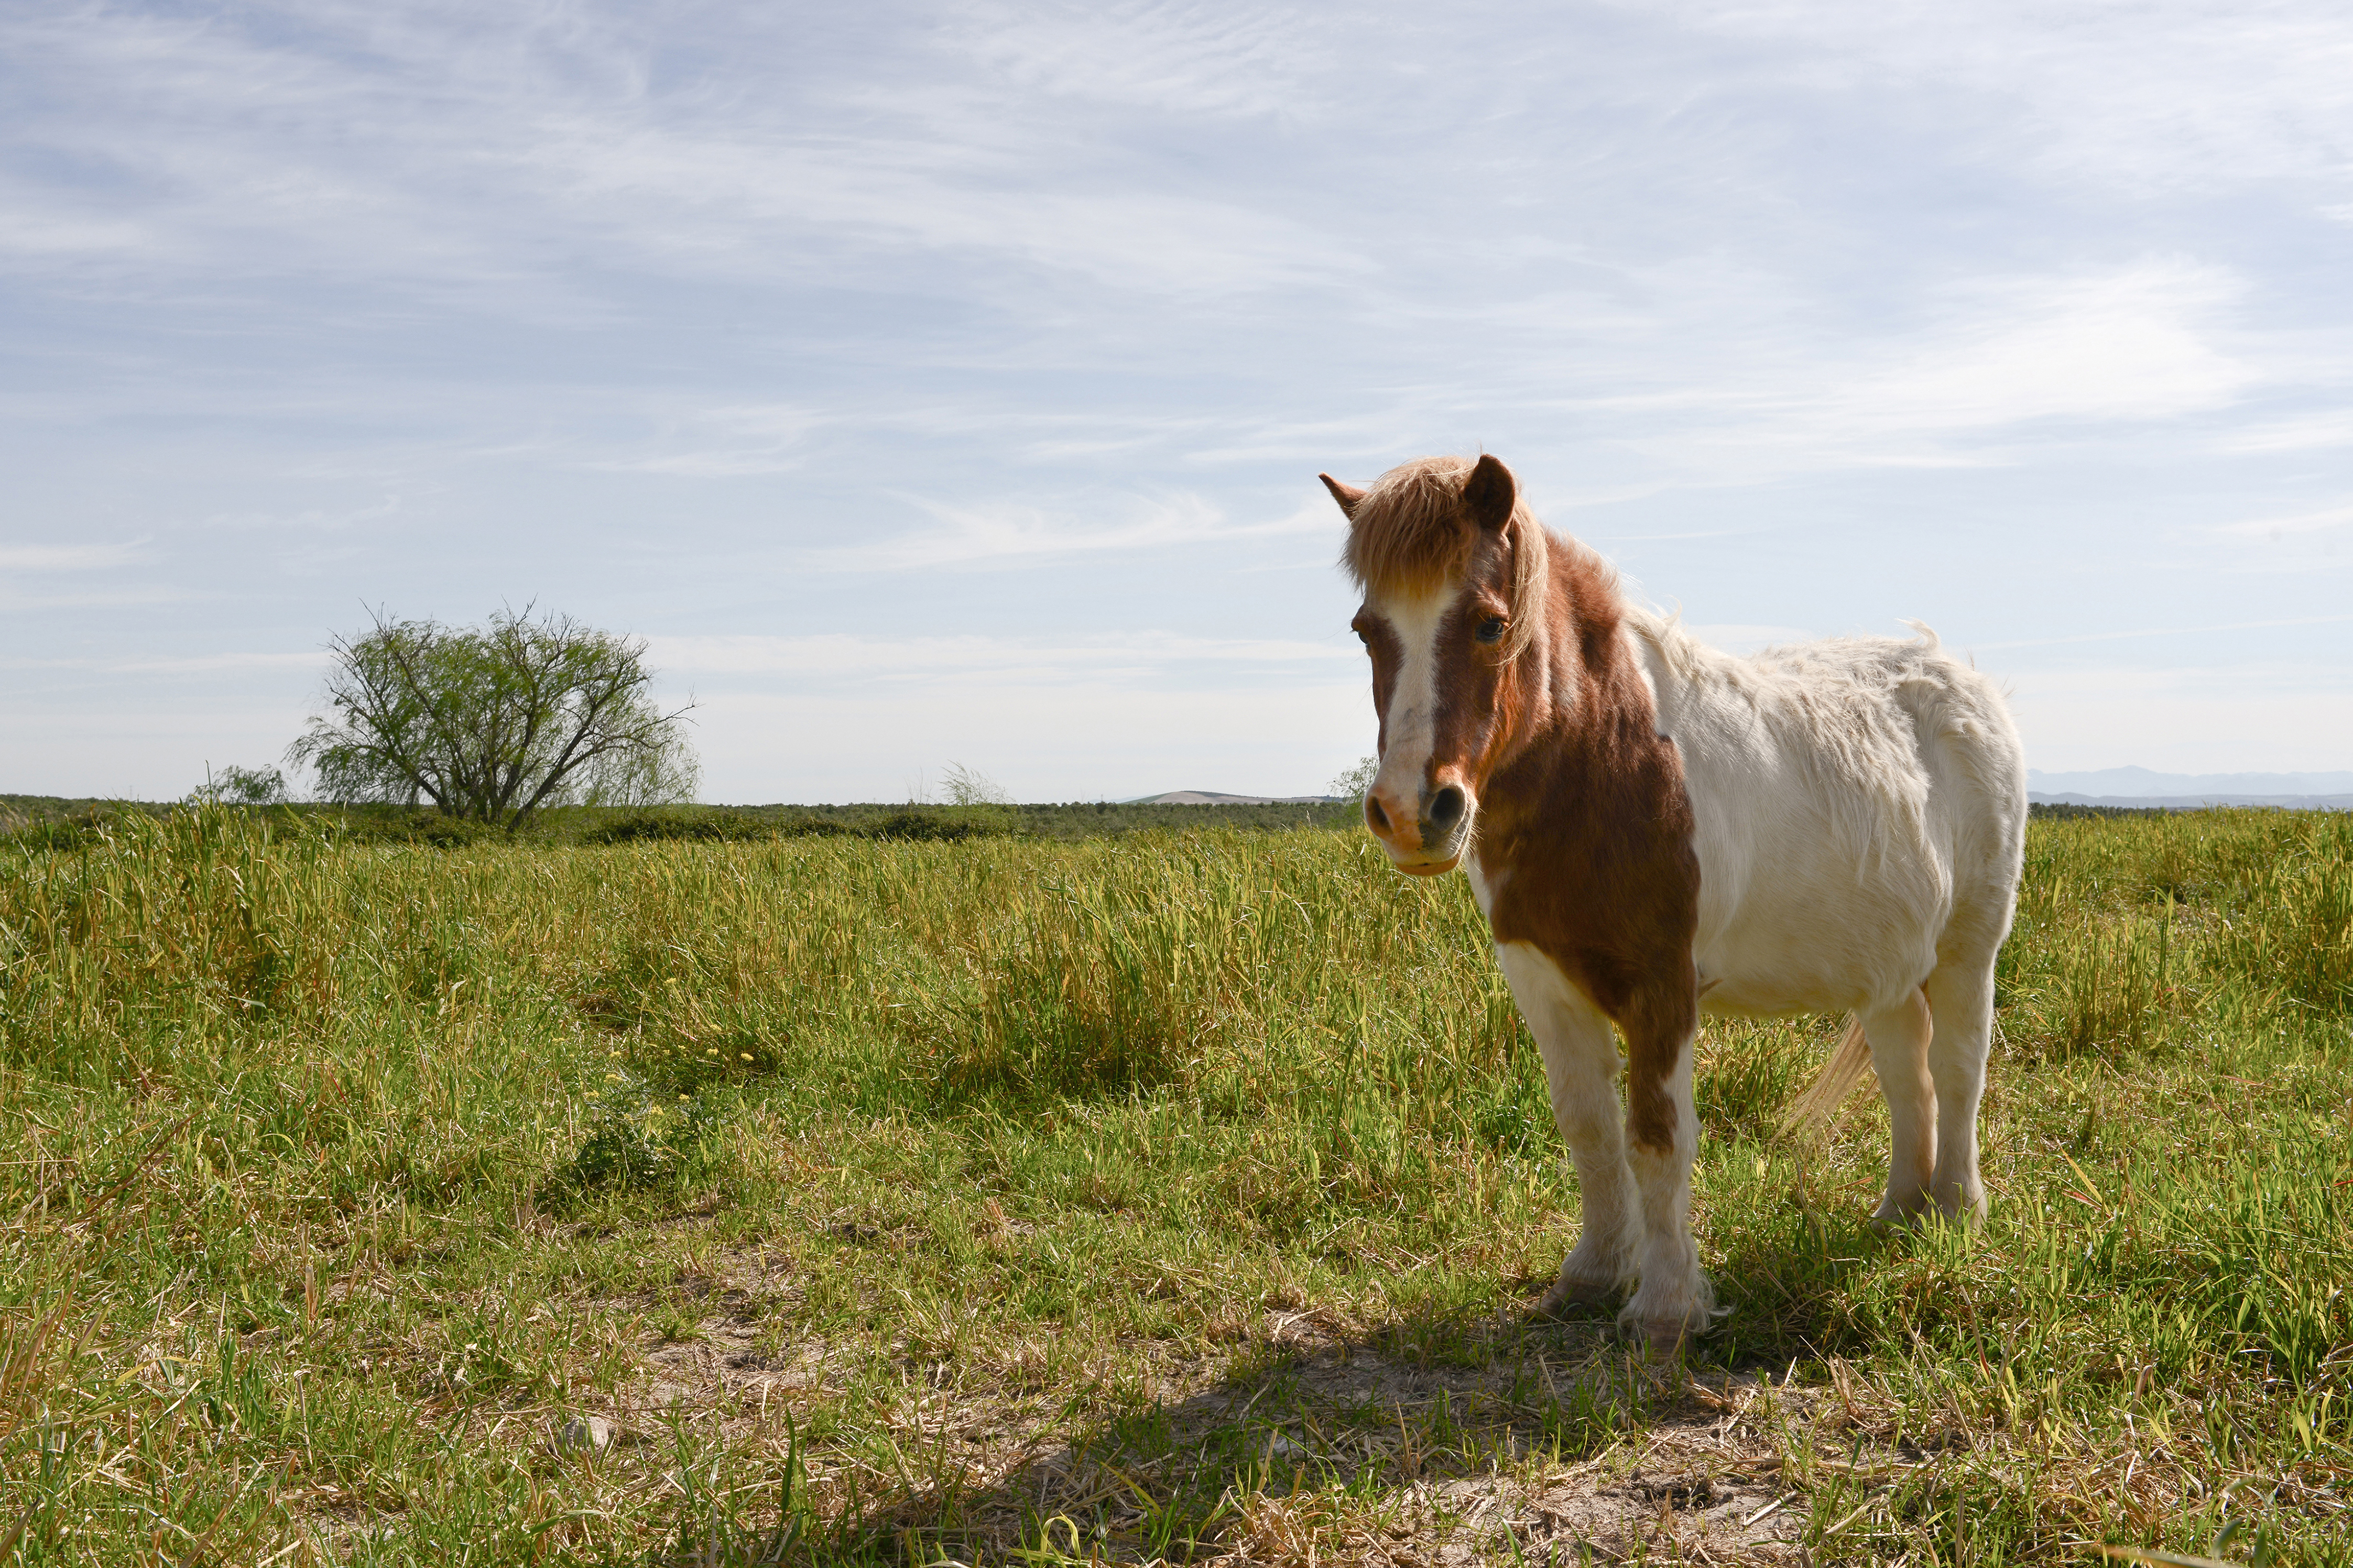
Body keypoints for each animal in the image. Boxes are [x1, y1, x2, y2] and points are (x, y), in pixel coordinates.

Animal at [1327, 451, 2023, 1354]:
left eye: (1487, 624)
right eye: (1366, 630)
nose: (1413, 813)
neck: (1603, 759)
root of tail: (1962, 681)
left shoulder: (1661, 988)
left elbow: (1656, 1138)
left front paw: (1664, 1308)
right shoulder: (1542, 985)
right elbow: (1587, 1129)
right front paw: (1590, 1276)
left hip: (1967, 948)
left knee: (1958, 1067)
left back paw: (1955, 1214)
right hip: (1886, 966)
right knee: (1907, 1073)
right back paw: (1898, 1212)